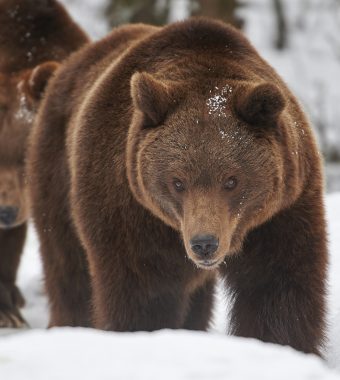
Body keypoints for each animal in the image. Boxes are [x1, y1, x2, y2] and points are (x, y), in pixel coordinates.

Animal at [28, 17, 326, 356]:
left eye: (231, 180)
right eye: (177, 181)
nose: (204, 243)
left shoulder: (281, 210)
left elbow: (278, 288)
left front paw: (280, 345)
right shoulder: (131, 211)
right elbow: (143, 291)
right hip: (56, 174)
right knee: (68, 268)